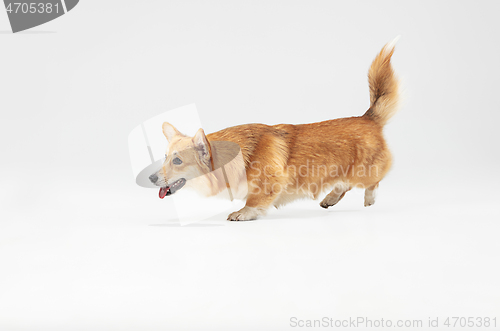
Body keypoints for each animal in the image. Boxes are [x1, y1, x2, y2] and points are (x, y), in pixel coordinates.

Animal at [147, 40, 398, 222]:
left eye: (177, 161)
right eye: (165, 157)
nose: (150, 177)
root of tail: (368, 117)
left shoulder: (271, 181)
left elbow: (255, 200)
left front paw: (243, 213)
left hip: (364, 172)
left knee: (373, 181)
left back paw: (369, 198)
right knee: (343, 184)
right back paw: (330, 199)